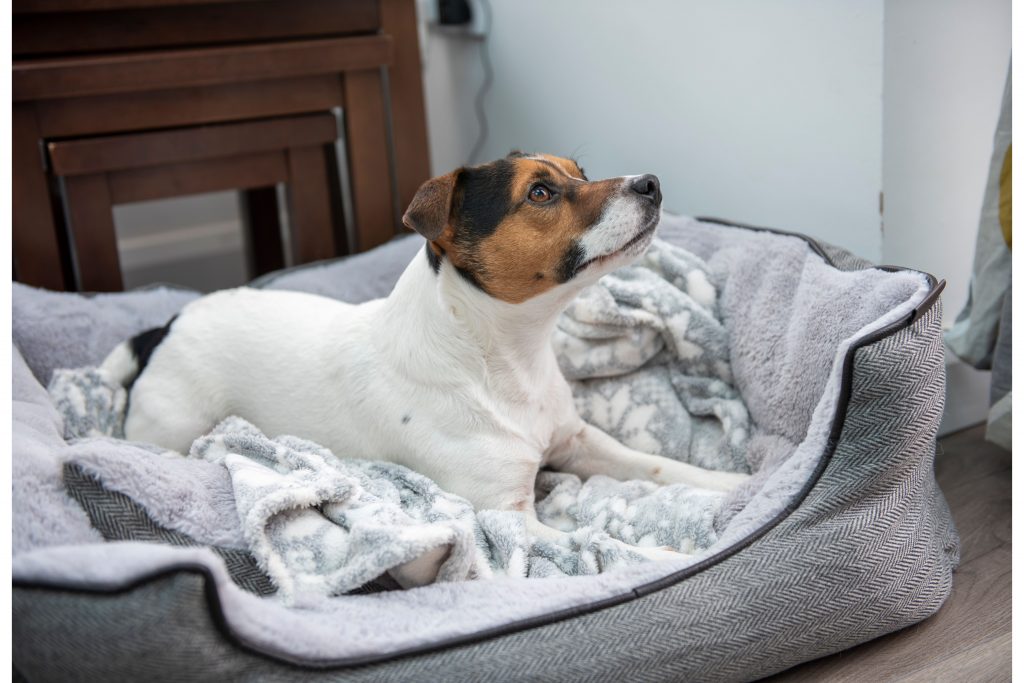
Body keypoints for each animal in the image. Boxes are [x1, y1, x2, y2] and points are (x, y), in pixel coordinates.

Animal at [101, 150, 745, 581]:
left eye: (579, 173)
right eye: (540, 193)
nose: (651, 183)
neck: (503, 360)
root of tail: (167, 325)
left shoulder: (577, 440)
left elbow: (655, 465)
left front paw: (734, 484)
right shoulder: (509, 517)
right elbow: (591, 537)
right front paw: (665, 555)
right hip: (175, 427)